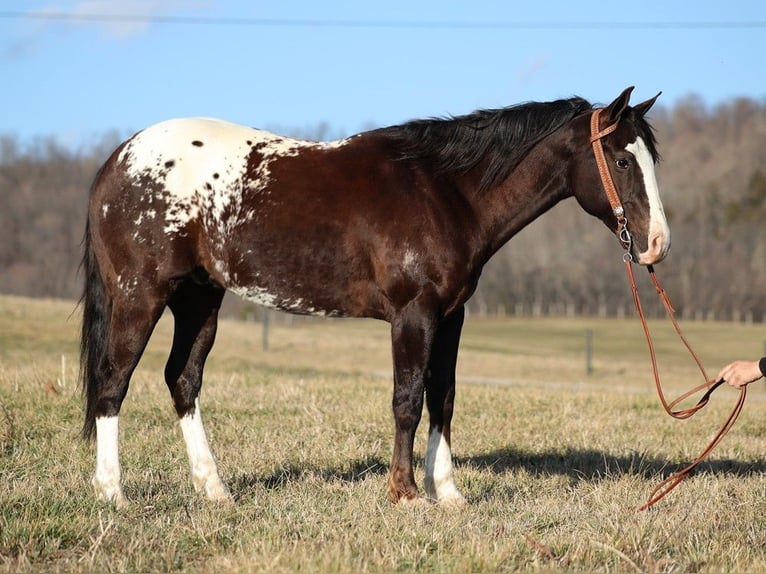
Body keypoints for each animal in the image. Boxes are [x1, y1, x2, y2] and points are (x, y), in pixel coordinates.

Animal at [81, 85, 672, 508]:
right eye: (623, 161)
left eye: (651, 159)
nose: (657, 245)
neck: (445, 191)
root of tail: (118, 159)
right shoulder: (414, 315)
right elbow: (406, 399)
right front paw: (405, 493)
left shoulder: (450, 317)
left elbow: (443, 399)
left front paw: (448, 492)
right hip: (141, 296)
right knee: (112, 381)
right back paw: (113, 494)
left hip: (200, 300)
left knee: (182, 380)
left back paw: (215, 491)